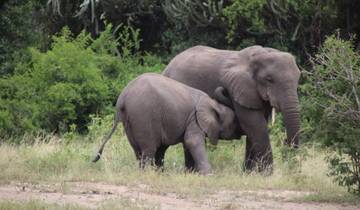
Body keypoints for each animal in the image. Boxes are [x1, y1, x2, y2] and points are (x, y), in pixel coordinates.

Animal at [93, 73, 238, 175]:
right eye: (234, 122)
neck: (214, 104)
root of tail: (122, 98)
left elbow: (187, 144)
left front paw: (190, 173)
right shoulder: (194, 120)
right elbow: (192, 142)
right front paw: (209, 174)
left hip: (130, 120)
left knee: (141, 150)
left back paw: (153, 173)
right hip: (143, 116)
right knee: (149, 149)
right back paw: (148, 174)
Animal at [163, 45, 300, 172]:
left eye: (298, 78)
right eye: (269, 79)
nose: (286, 144)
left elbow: (255, 128)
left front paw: (249, 173)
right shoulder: (239, 89)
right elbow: (256, 126)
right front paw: (266, 174)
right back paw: (191, 172)